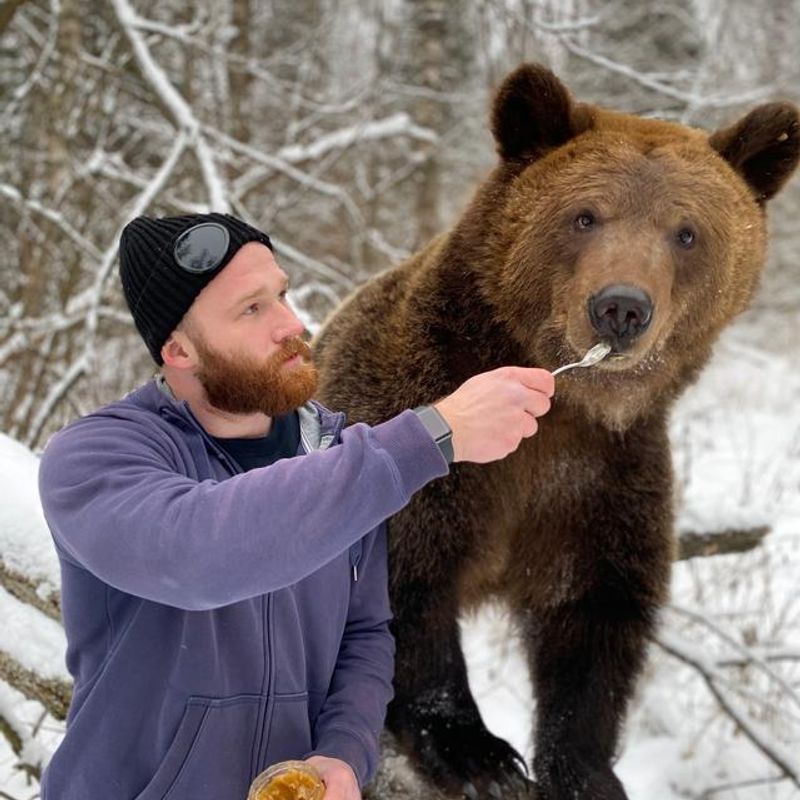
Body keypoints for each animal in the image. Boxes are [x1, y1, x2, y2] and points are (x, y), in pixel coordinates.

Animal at [310, 64, 800, 800]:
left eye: (686, 232)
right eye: (585, 215)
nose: (621, 307)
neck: (563, 404)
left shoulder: (601, 477)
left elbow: (593, 617)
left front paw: (584, 768)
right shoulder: (414, 420)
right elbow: (404, 583)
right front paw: (474, 750)